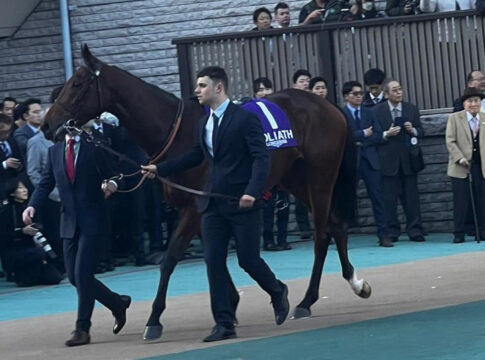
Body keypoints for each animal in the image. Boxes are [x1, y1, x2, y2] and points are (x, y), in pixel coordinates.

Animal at [44, 45, 370, 340]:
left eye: (77, 84)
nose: (48, 125)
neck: (176, 131)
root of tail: (327, 104)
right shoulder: (202, 206)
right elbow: (214, 256)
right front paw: (234, 303)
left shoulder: (193, 206)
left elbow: (172, 257)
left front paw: (154, 319)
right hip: (296, 179)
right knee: (335, 225)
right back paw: (355, 283)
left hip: (320, 177)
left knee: (322, 235)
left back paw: (306, 300)